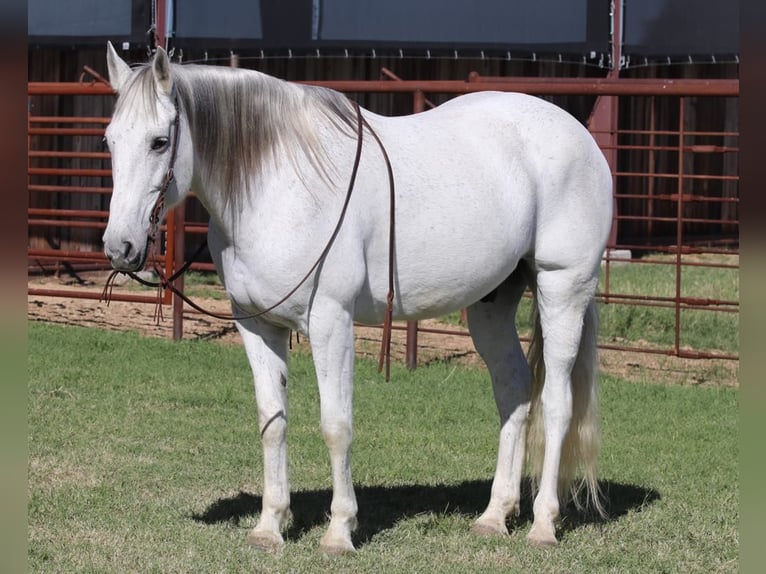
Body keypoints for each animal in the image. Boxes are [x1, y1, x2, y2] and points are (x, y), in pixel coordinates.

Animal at [102, 43, 613, 553]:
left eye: (159, 142)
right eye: (109, 141)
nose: (119, 247)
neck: (280, 185)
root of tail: (581, 137)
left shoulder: (331, 322)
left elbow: (336, 425)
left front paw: (339, 530)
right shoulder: (257, 324)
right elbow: (273, 422)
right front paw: (270, 526)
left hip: (561, 289)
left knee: (557, 402)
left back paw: (543, 525)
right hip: (492, 304)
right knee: (514, 391)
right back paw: (494, 515)